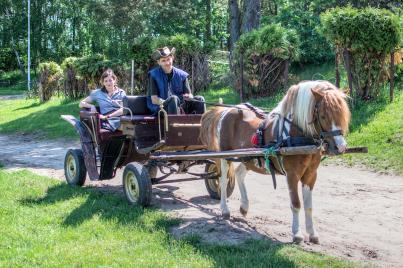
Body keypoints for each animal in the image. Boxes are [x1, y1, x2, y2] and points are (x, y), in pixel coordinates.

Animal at [200, 79, 352, 243]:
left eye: (342, 114)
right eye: (323, 116)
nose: (340, 147)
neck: (297, 135)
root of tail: (226, 111)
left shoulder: (311, 175)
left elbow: (309, 205)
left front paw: (312, 234)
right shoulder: (292, 174)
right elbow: (296, 203)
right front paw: (297, 234)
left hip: (248, 158)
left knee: (239, 173)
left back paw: (244, 206)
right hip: (225, 156)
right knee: (222, 179)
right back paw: (224, 209)